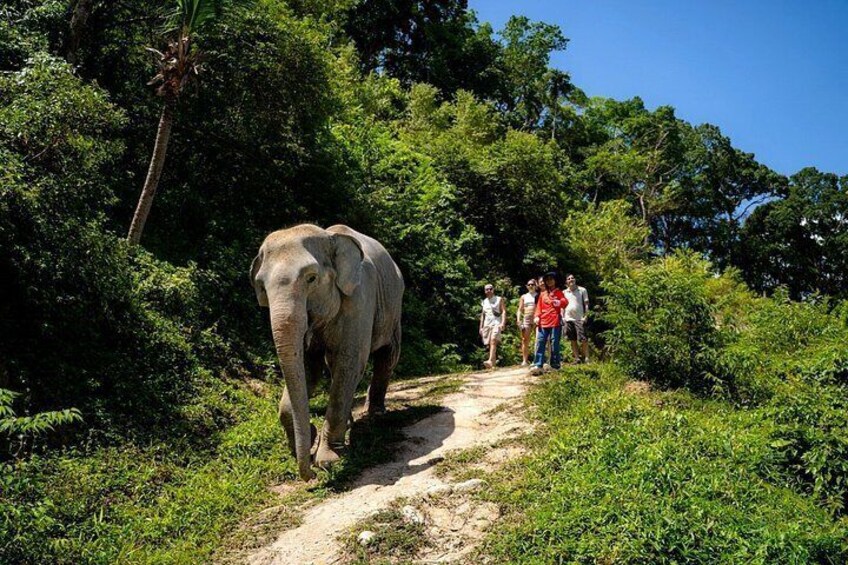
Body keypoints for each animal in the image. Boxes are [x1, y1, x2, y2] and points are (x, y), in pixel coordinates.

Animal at [250, 224, 404, 480]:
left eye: (311, 278)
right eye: (261, 287)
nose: (310, 475)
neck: (327, 236)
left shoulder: (359, 299)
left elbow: (349, 362)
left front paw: (327, 461)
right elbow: (307, 369)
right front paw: (311, 439)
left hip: (395, 306)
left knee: (388, 355)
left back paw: (375, 414)